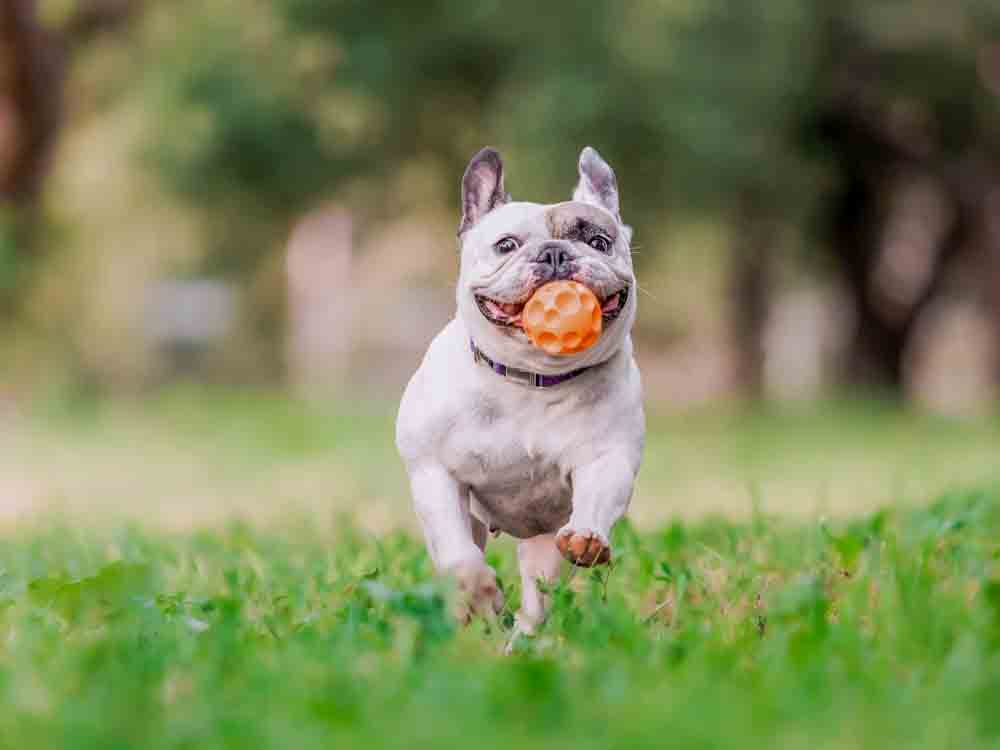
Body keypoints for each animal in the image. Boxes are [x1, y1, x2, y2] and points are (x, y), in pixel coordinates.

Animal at [394, 145, 644, 636]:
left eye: (598, 242)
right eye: (506, 245)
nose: (554, 254)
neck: (531, 379)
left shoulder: (608, 457)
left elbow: (598, 496)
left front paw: (587, 536)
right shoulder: (435, 473)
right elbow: (459, 556)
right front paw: (480, 593)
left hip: (542, 547)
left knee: (537, 596)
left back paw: (523, 638)